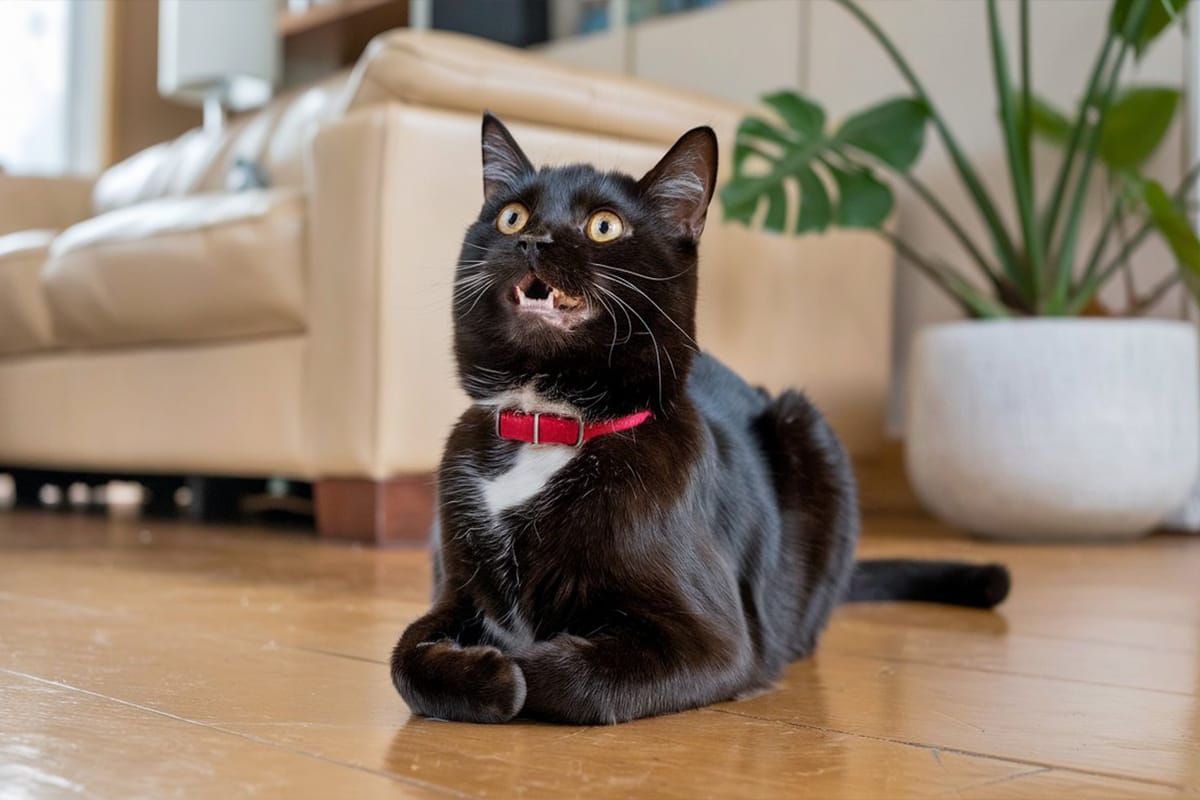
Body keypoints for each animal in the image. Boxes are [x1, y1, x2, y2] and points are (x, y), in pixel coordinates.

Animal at [388, 117, 1008, 724]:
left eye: (604, 227)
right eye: (511, 215)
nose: (531, 239)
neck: (549, 424)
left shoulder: (719, 640)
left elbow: (571, 676)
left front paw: (508, 668)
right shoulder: (454, 590)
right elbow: (402, 656)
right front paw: (479, 670)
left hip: (808, 428)